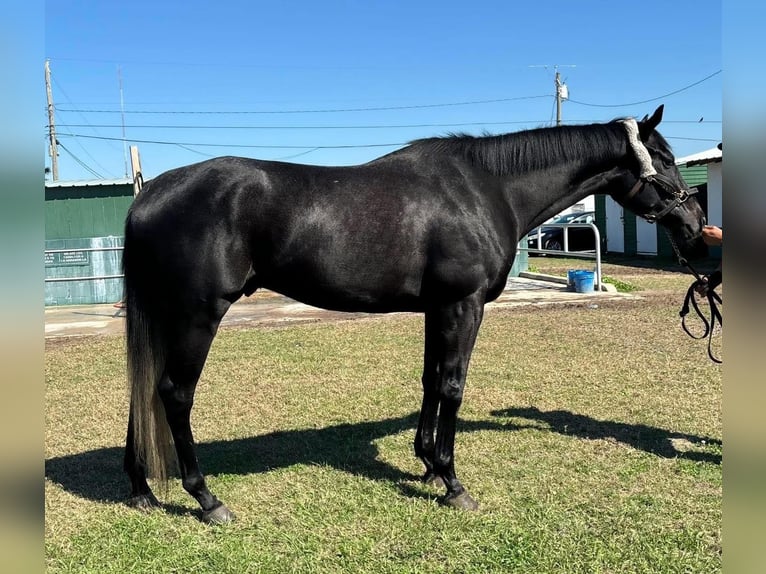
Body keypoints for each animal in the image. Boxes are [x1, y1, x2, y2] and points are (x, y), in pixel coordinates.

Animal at [121, 106, 708, 524]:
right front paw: (453, 482)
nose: (696, 224)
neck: (486, 189)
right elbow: (452, 384)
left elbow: (429, 380)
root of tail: (149, 195)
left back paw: (142, 487)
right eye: (665, 158)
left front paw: (426, 464)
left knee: (143, 388)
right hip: (197, 316)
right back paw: (206, 499)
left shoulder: (437, 308)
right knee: (174, 393)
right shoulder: (462, 304)